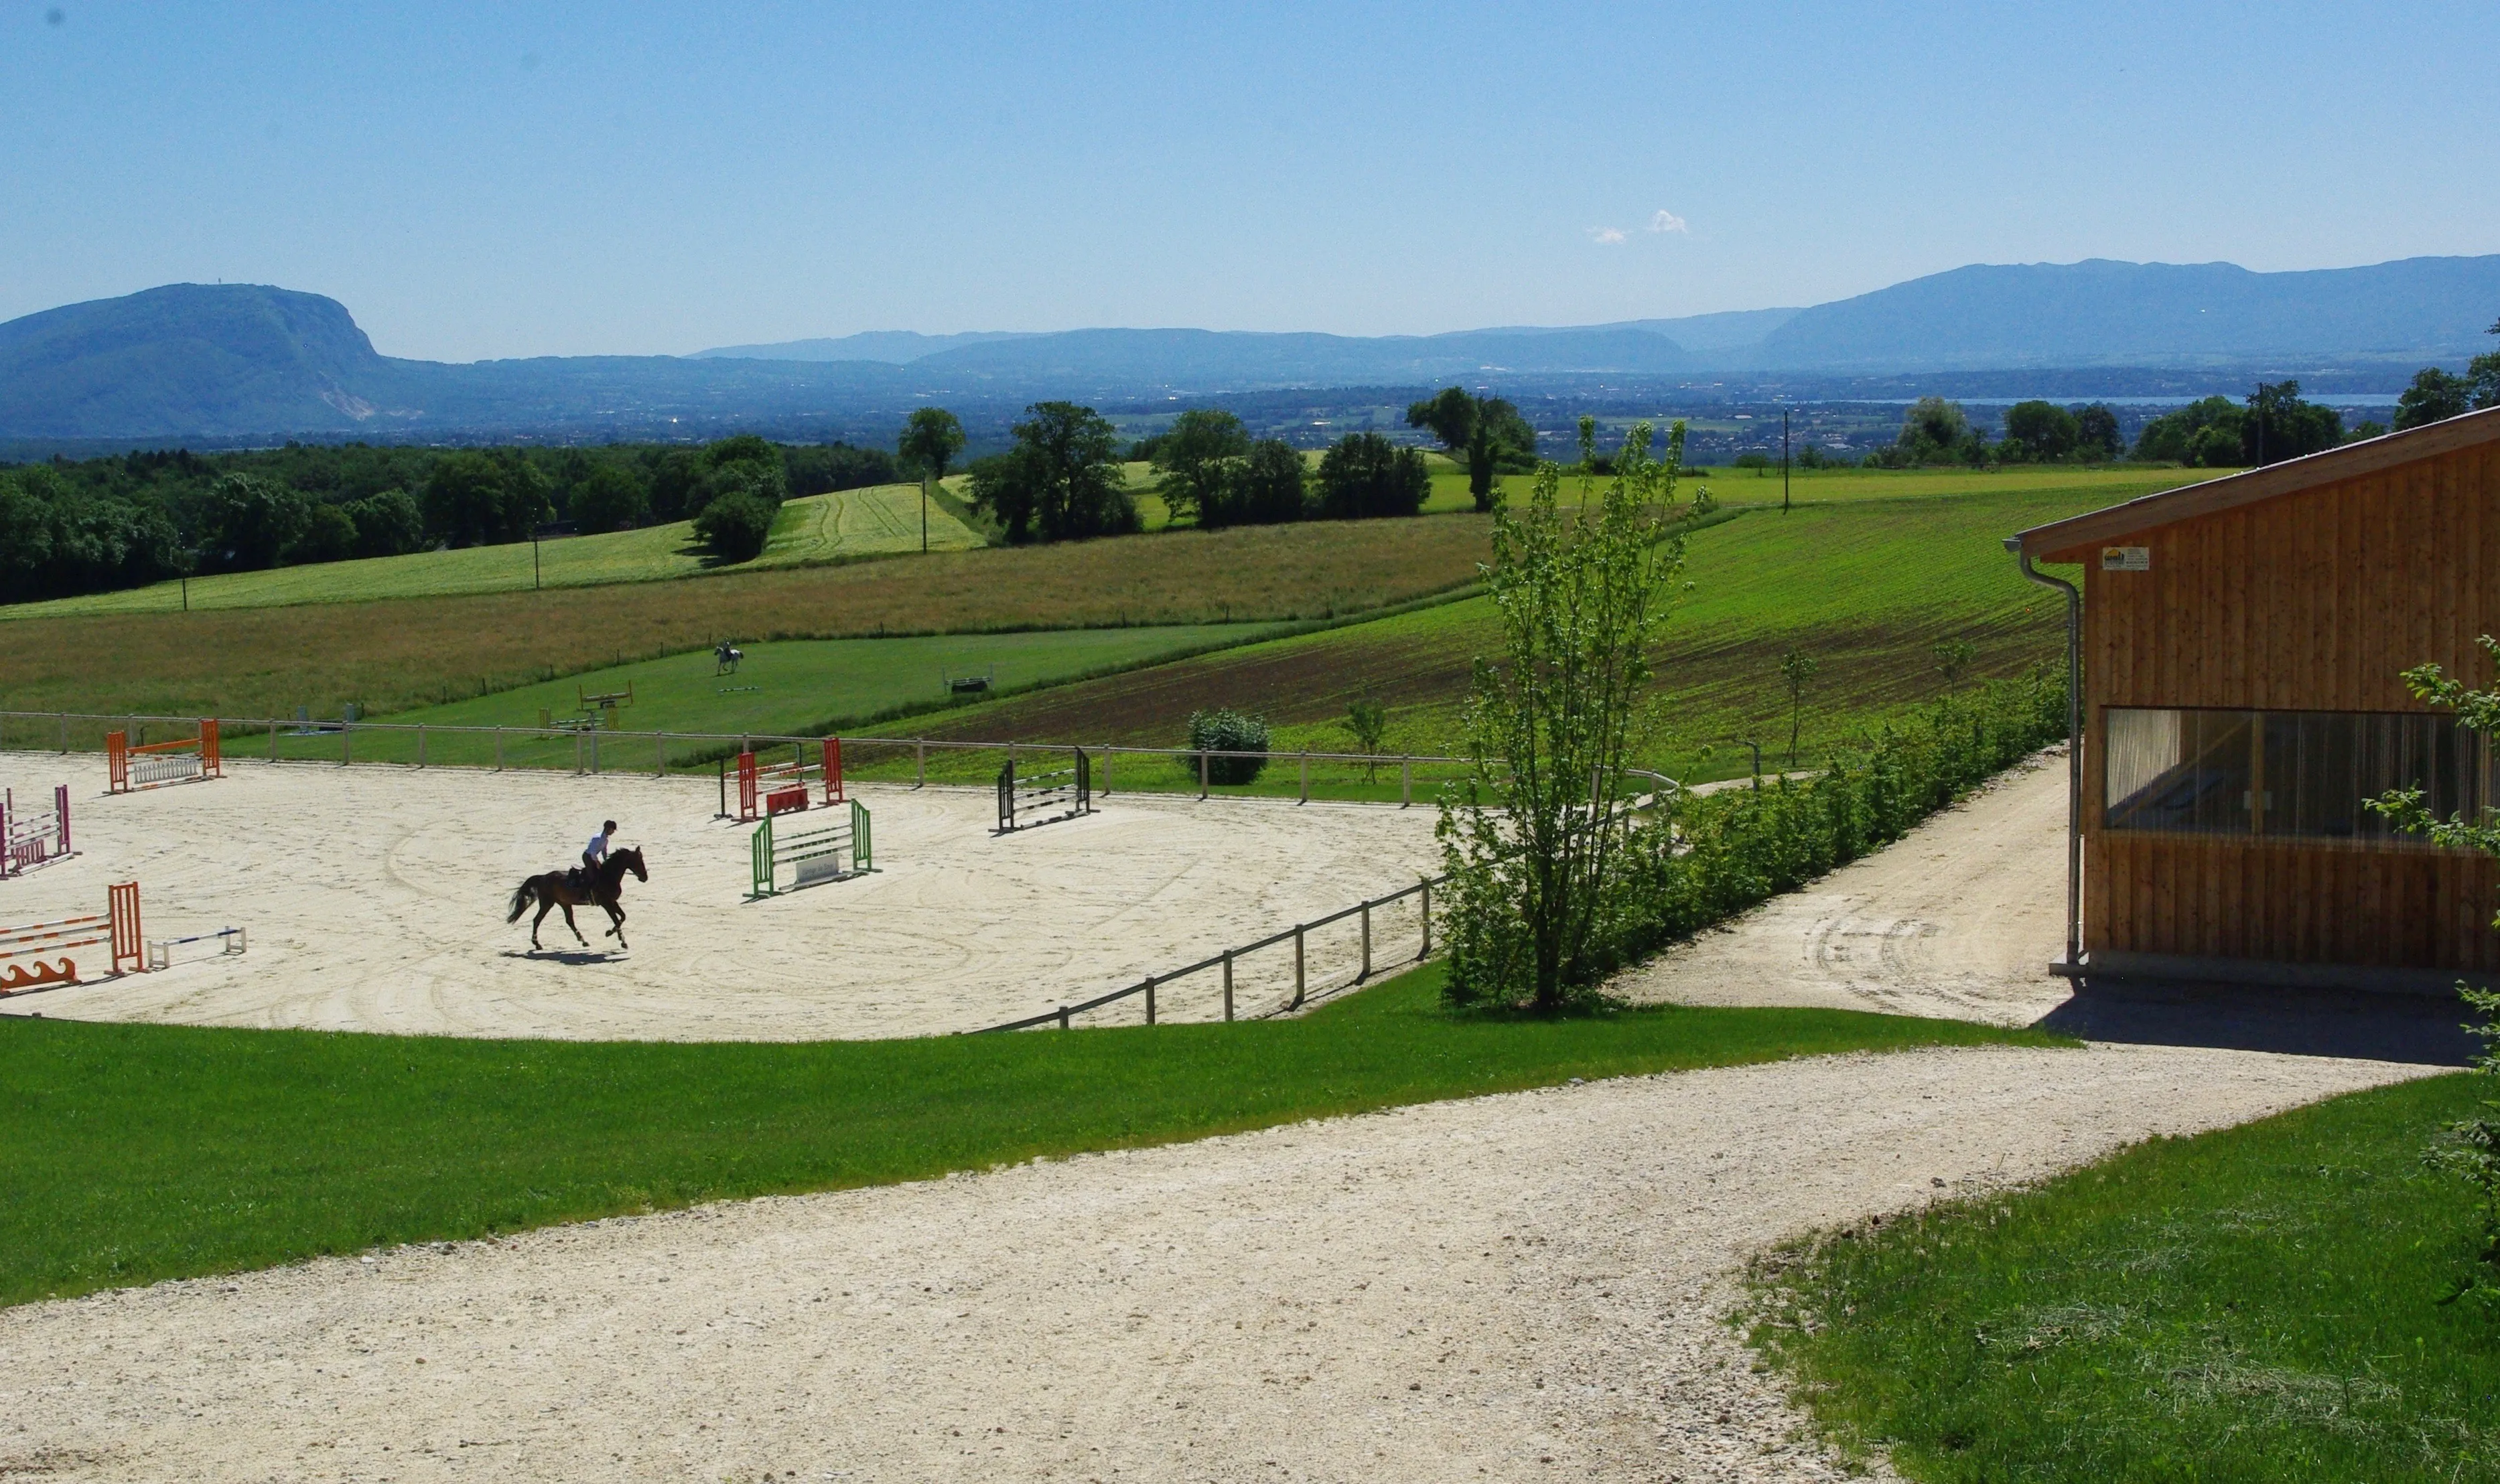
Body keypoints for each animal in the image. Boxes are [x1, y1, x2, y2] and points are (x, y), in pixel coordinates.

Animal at [506, 846, 648, 952]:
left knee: (569, 921)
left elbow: (622, 917)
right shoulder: (606, 904)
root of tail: (542, 877)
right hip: (547, 904)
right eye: (638, 861)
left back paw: (583, 941)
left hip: (564, 904)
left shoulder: (613, 902)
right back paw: (537, 944)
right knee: (537, 920)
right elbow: (617, 920)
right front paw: (620, 940)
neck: (608, 877)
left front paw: (613, 934)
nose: (645, 878)